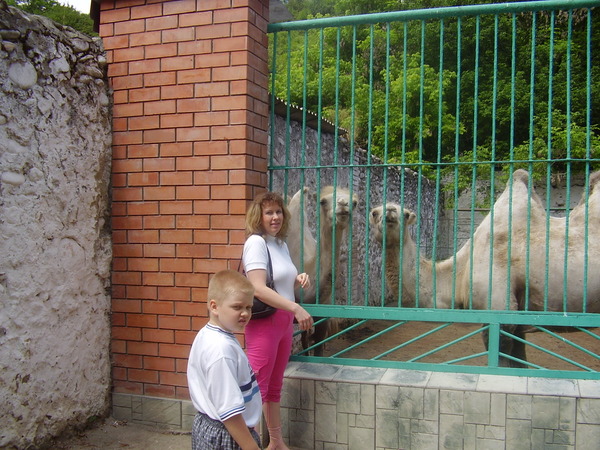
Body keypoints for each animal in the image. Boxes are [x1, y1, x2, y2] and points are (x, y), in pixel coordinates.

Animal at [370, 171, 600, 368]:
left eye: (406, 213)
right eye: (374, 213)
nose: (390, 212)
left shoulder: (499, 312)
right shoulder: (517, 319)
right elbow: (519, 364)